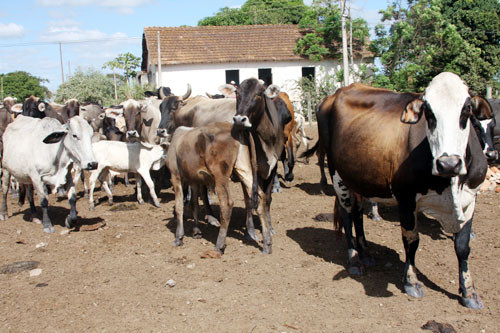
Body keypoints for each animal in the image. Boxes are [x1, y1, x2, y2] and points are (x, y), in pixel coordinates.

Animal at [232, 78, 292, 254]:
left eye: (259, 94)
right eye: (237, 93)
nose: (239, 120)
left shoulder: (272, 169)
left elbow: (268, 199)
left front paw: (270, 227)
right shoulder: (252, 171)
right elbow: (252, 199)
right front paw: (252, 231)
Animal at [304, 72, 488, 308]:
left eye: (466, 109)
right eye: (429, 113)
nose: (448, 163)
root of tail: (335, 94)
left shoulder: (471, 199)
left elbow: (463, 247)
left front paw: (469, 292)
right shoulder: (406, 199)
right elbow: (411, 241)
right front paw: (411, 281)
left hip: (359, 178)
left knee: (358, 214)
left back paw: (366, 253)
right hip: (338, 176)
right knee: (346, 216)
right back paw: (354, 259)